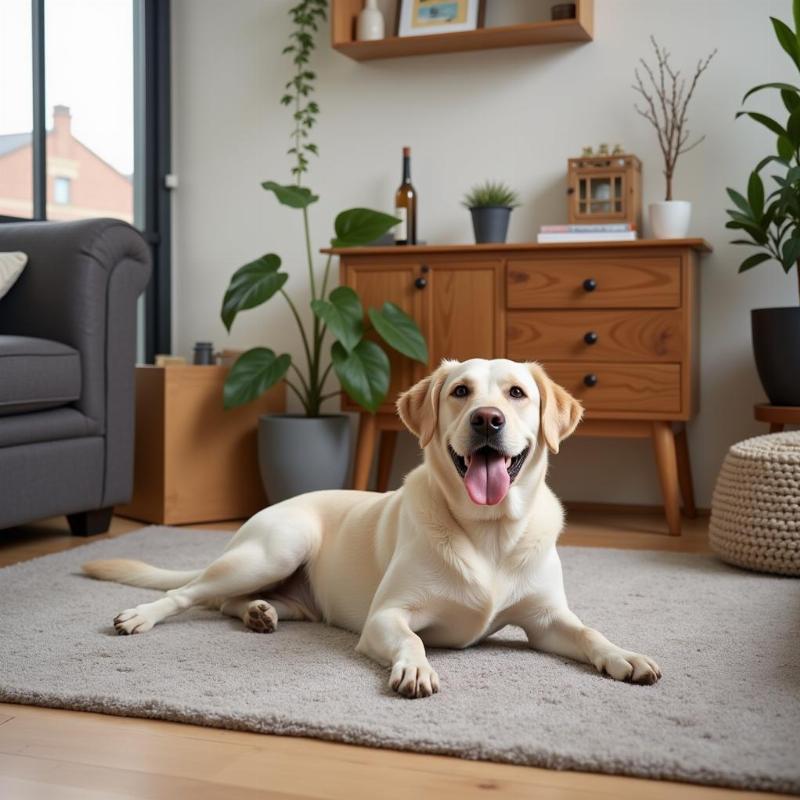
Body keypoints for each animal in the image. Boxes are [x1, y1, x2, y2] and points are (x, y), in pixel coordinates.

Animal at [84, 360, 664, 696]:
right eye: (460, 392)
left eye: (517, 393)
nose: (487, 419)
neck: (489, 532)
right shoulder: (387, 616)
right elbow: (413, 640)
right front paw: (415, 669)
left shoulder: (547, 620)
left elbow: (589, 632)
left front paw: (625, 655)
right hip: (274, 549)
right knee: (188, 593)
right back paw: (142, 616)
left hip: (289, 588)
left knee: (228, 602)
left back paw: (259, 612)